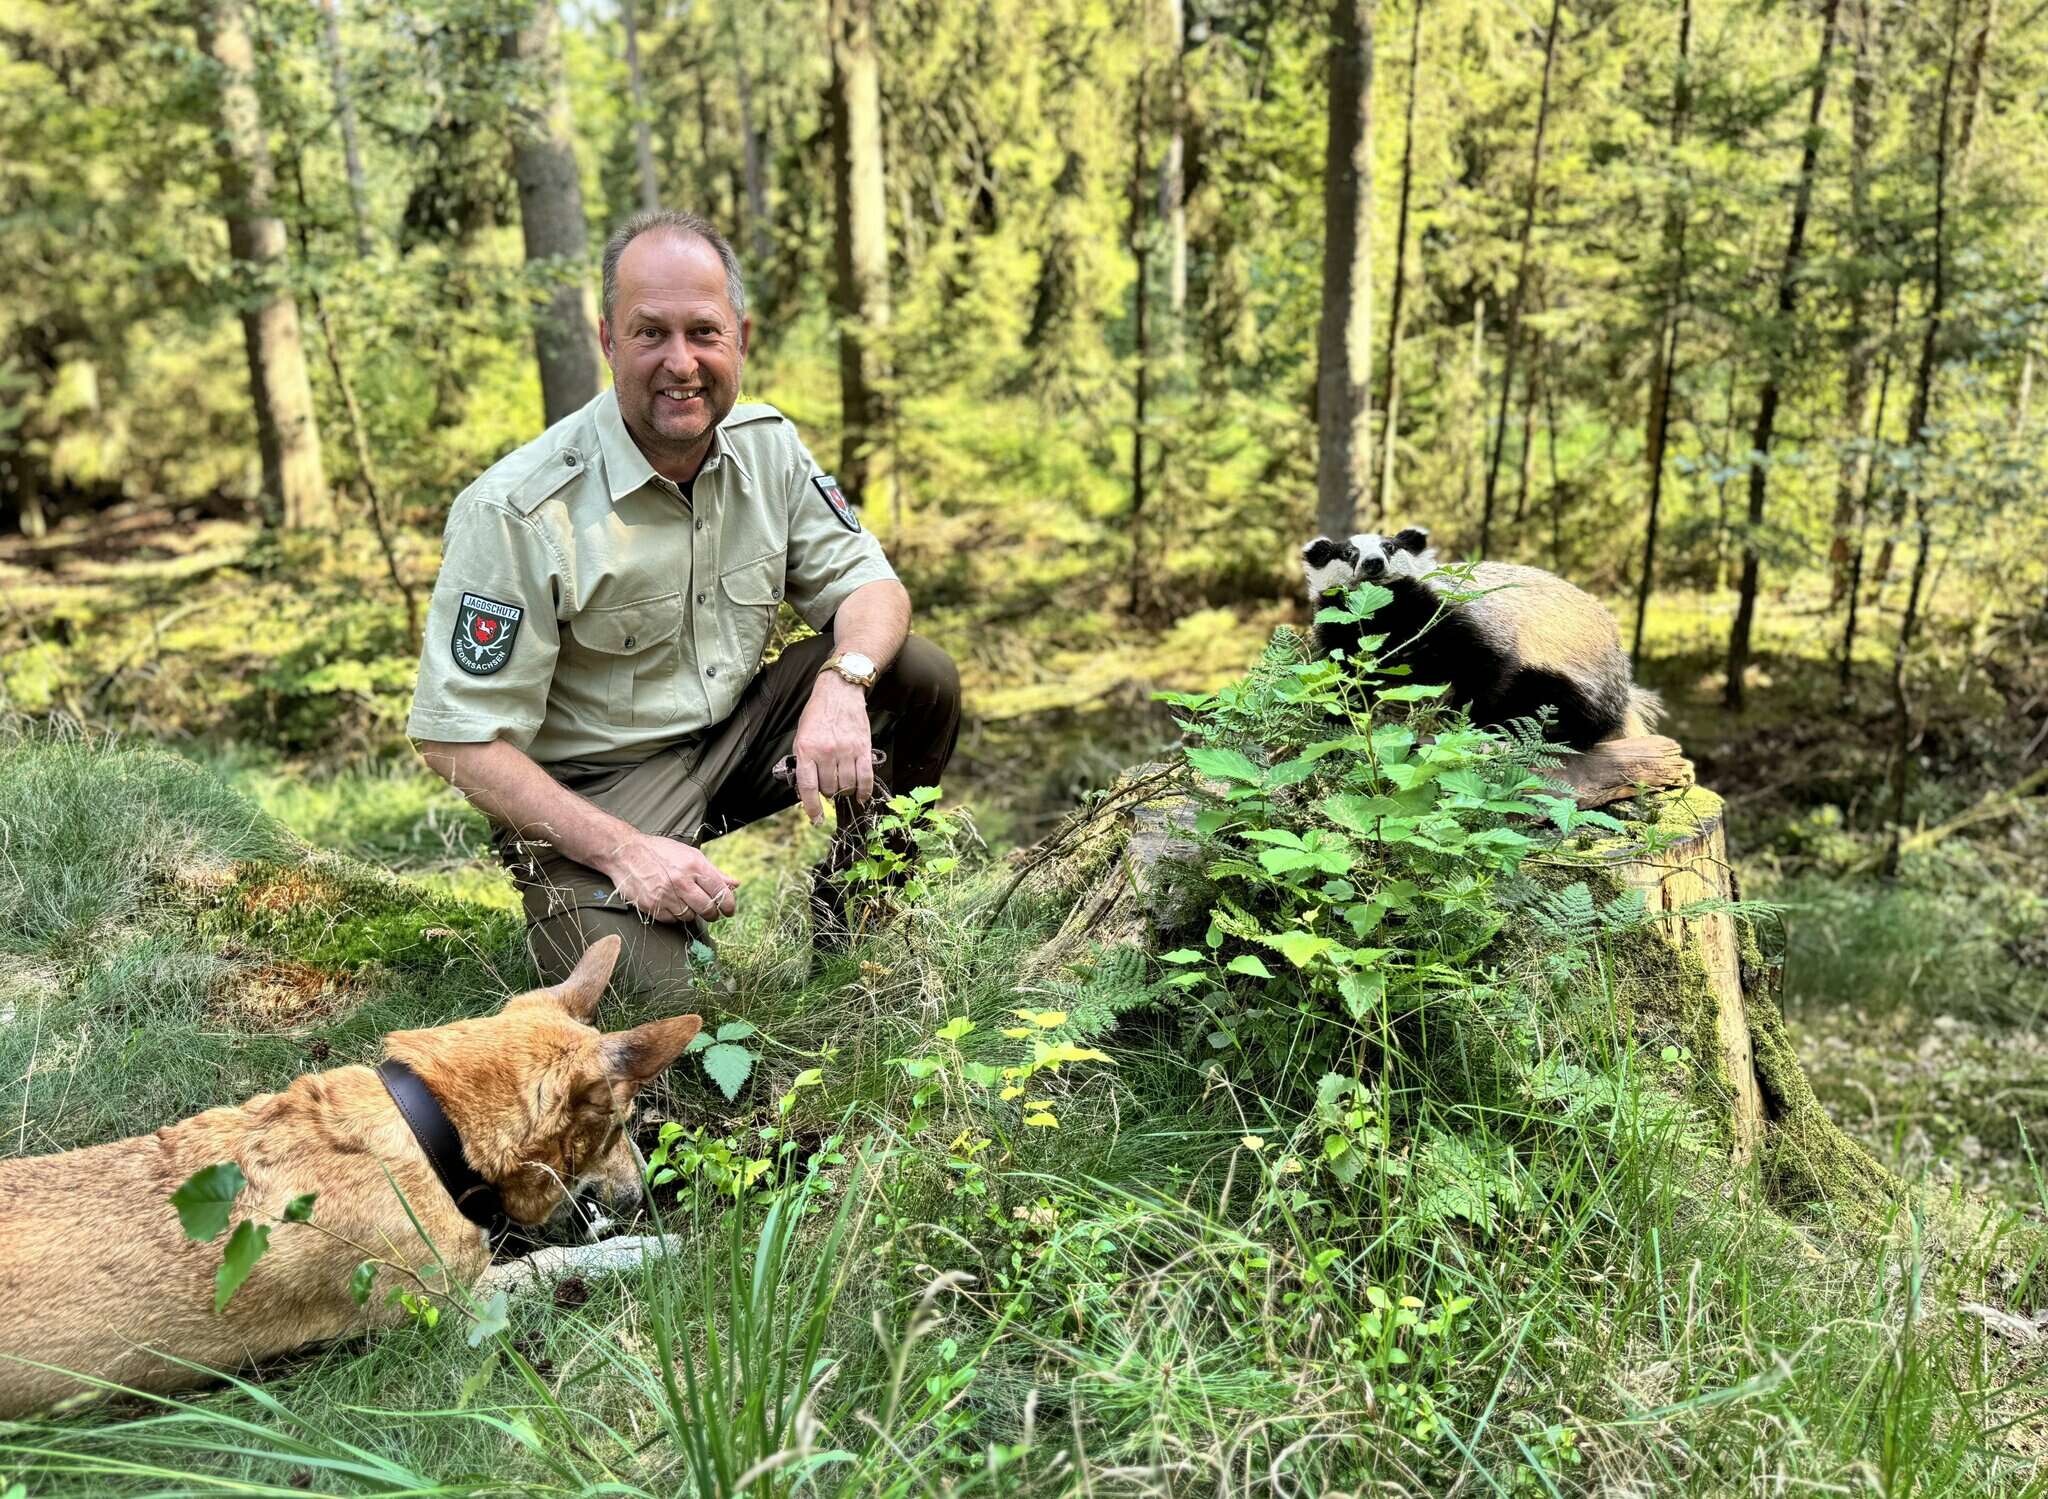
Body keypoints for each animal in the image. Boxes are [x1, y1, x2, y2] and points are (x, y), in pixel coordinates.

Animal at [0, 937, 696, 1417]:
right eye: (619, 1125)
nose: (645, 1193)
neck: (430, 1125)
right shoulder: (450, 1305)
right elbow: (552, 1265)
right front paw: (643, 1248)